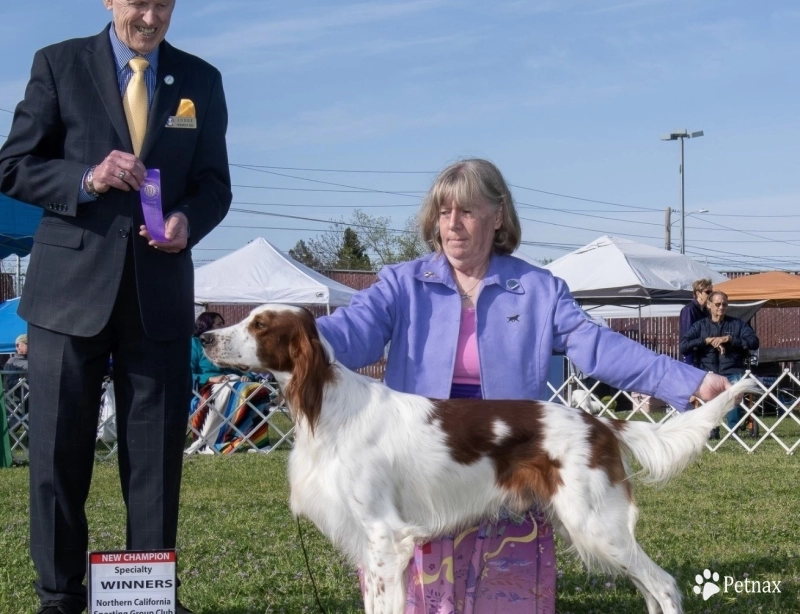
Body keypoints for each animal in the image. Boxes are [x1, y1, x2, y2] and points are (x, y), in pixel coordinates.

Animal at [202, 304, 756, 614]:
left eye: (260, 324)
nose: (204, 336)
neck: (328, 406)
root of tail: (599, 422)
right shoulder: (370, 545)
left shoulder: (385, 539)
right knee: (651, 588)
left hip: (597, 523)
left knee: (664, 586)